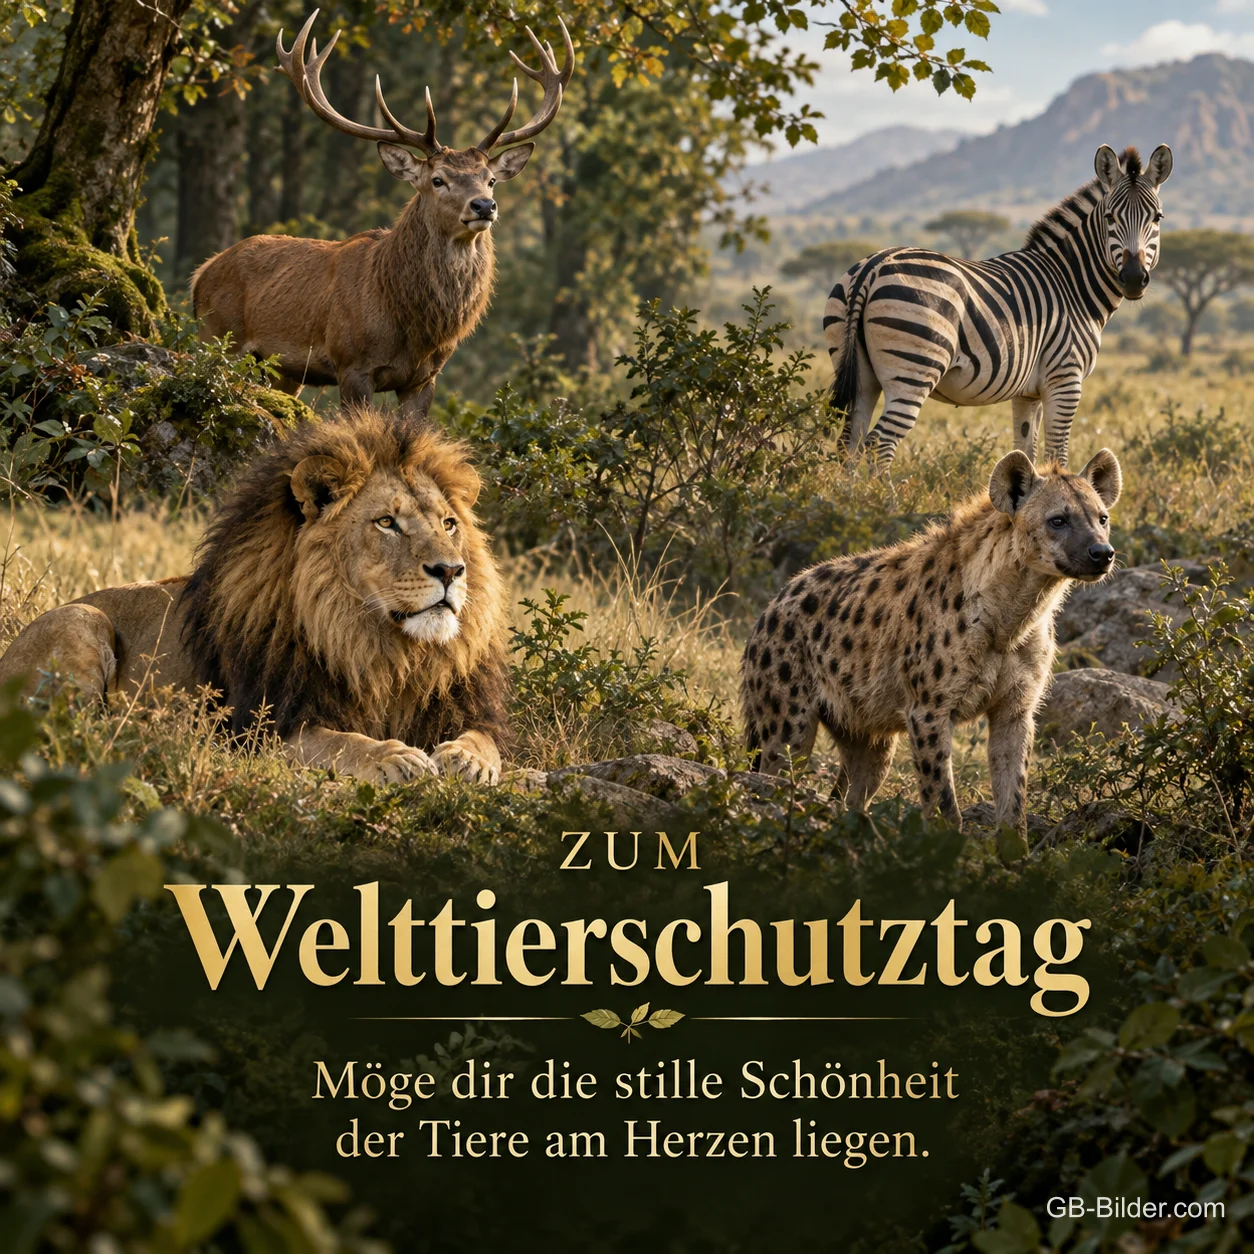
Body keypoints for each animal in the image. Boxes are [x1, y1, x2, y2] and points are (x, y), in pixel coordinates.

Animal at [0, 408, 511, 784]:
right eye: (387, 522)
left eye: (449, 523)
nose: (451, 570)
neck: (381, 647)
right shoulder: (263, 729)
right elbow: (342, 741)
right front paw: (394, 757)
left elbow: (485, 740)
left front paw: (468, 760)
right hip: (81, 618)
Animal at [191, 8, 574, 418]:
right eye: (438, 180)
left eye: (490, 180)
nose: (484, 206)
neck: (412, 326)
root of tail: (200, 274)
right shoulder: (352, 364)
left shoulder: (424, 378)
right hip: (219, 337)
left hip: (283, 371)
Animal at [824, 143, 1173, 468]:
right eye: (1110, 217)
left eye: (1157, 218)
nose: (1133, 278)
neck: (1071, 282)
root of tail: (874, 266)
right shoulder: (1065, 380)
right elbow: (1056, 456)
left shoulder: (1027, 393)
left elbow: (1026, 452)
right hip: (914, 370)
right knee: (879, 442)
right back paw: (885, 496)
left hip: (860, 373)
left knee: (849, 442)